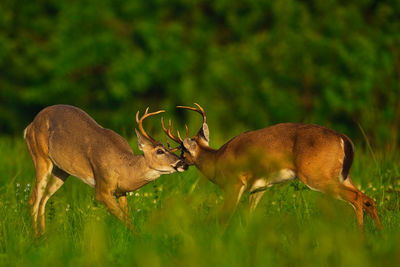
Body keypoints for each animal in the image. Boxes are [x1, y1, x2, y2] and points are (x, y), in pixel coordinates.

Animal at [23, 104, 188, 237]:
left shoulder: (121, 191)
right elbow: (124, 218)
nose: (183, 163)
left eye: (171, 149)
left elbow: (127, 216)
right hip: (40, 157)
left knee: (43, 199)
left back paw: (43, 237)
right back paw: (35, 238)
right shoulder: (101, 189)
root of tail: (29, 127)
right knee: (33, 199)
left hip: (61, 170)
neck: (124, 168)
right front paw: (139, 240)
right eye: (159, 151)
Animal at [161, 103, 382, 231]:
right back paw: (379, 233)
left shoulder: (235, 183)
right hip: (342, 175)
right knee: (367, 198)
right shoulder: (260, 188)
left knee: (357, 198)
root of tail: (344, 139)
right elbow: (249, 217)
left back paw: (361, 236)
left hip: (317, 175)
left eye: (183, 151)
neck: (216, 161)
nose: (180, 164)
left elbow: (225, 216)